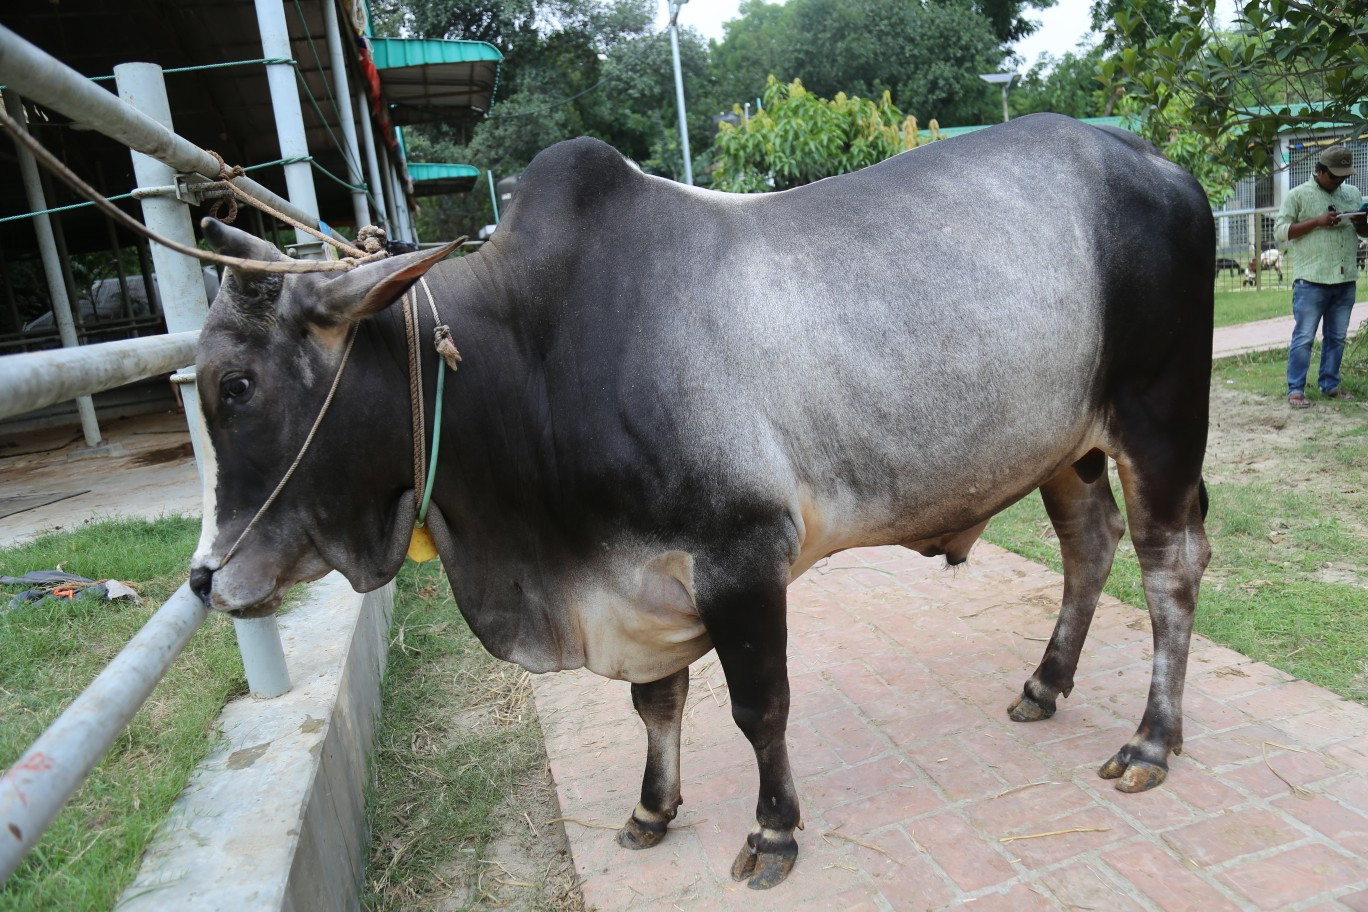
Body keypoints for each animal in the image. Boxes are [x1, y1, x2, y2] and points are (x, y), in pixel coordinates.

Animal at [188, 113, 1213, 890]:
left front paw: (772, 832)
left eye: (237, 387)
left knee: (1171, 567)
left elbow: (759, 707)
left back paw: (1150, 743)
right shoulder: (639, 578)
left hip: (1158, 419)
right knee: (1090, 545)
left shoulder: (740, 559)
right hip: (1067, 449)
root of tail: (1154, 158)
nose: (205, 579)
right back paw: (1044, 684)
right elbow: (656, 702)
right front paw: (652, 808)